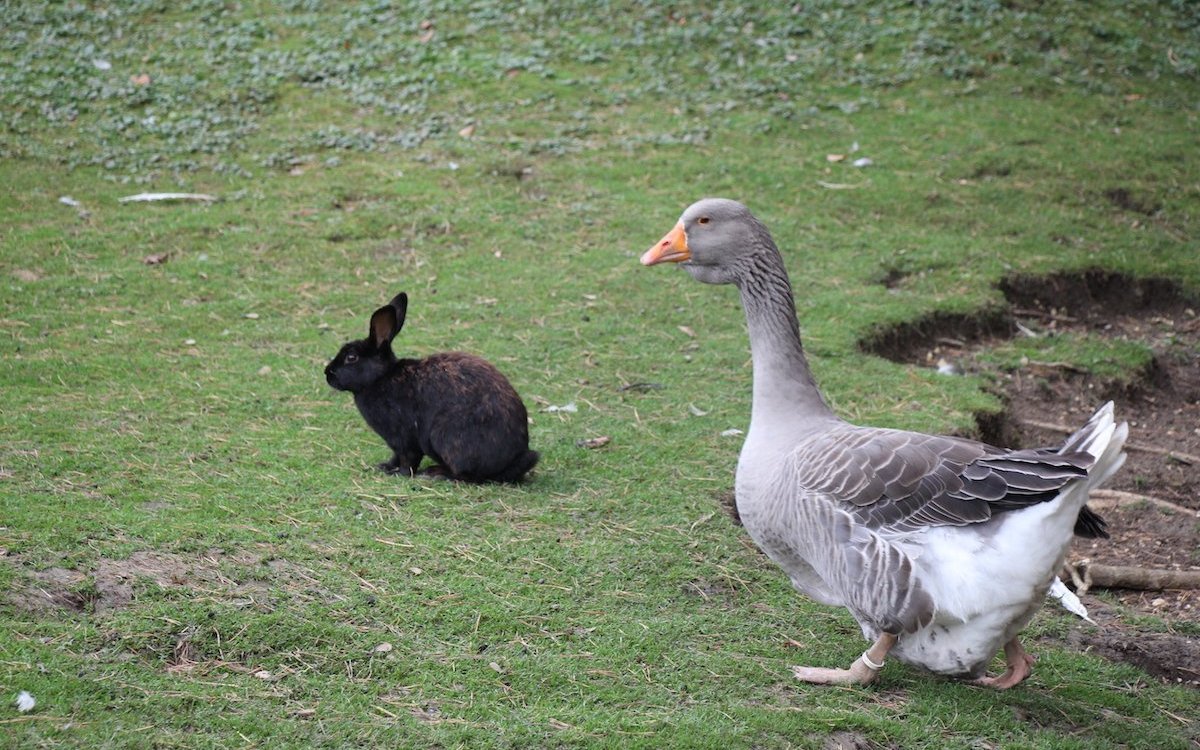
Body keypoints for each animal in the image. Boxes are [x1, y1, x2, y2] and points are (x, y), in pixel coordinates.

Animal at [325, 292, 539, 483]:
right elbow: (395, 456)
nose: (328, 373)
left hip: (443, 436)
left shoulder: (404, 436)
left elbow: (408, 459)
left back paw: (436, 474)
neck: (381, 377)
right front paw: (384, 466)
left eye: (351, 357)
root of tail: (515, 458)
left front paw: (398, 474)